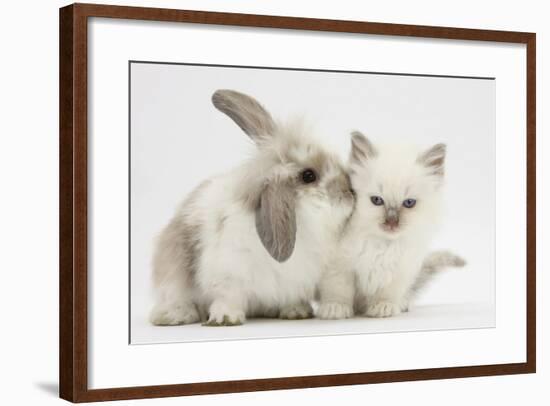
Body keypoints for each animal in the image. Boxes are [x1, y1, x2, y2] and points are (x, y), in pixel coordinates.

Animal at [149, 89, 356, 326]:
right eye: (308, 175)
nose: (349, 190)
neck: (300, 220)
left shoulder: (295, 279)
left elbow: (292, 296)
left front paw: (296, 312)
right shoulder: (227, 274)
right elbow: (227, 297)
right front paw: (225, 318)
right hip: (172, 271)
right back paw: (175, 315)